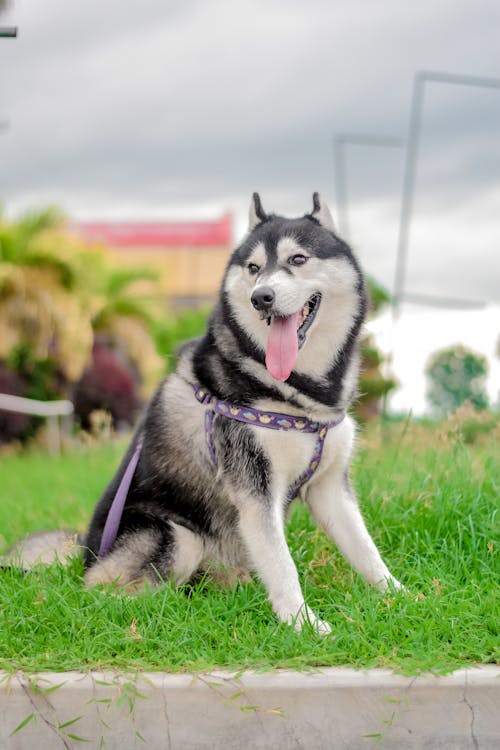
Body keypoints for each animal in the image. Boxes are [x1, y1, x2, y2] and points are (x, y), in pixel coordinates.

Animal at [82, 194, 402, 636]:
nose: (261, 297)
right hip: (175, 535)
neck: (299, 394)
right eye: (253, 268)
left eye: (297, 259)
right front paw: (303, 624)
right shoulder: (255, 489)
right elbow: (283, 565)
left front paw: (403, 596)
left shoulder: (330, 487)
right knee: (102, 590)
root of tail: (84, 555)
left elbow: (365, 549)